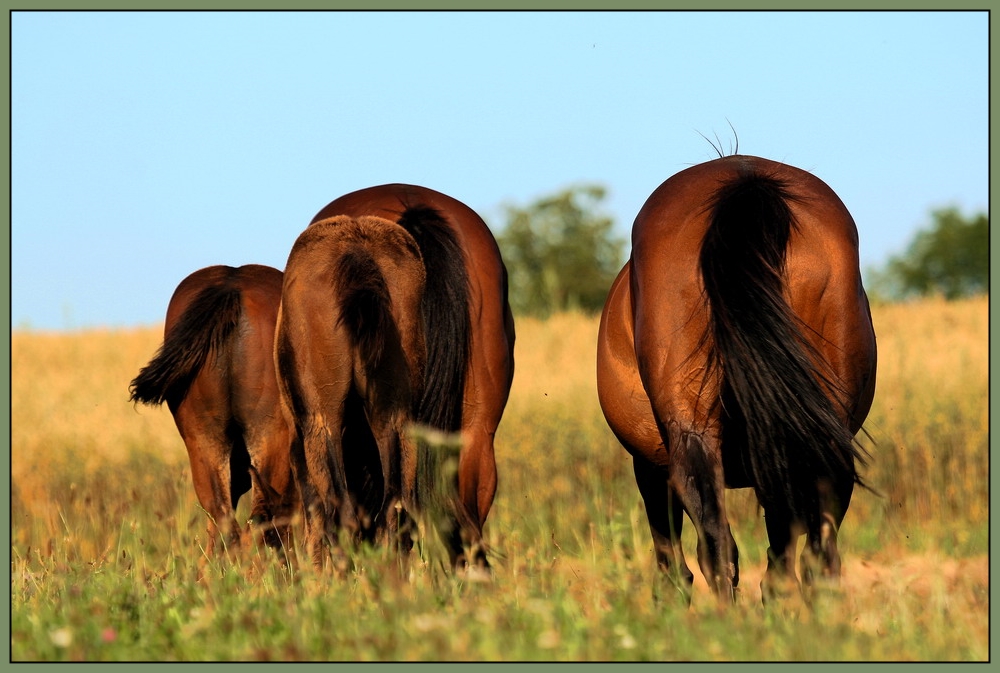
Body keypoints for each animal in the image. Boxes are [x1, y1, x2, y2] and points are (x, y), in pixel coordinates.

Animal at [596, 156, 880, 604]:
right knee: (814, 553)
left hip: (692, 433)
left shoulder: (651, 466)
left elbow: (671, 557)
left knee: (715, 543)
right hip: (819, 435)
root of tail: (747, 182)